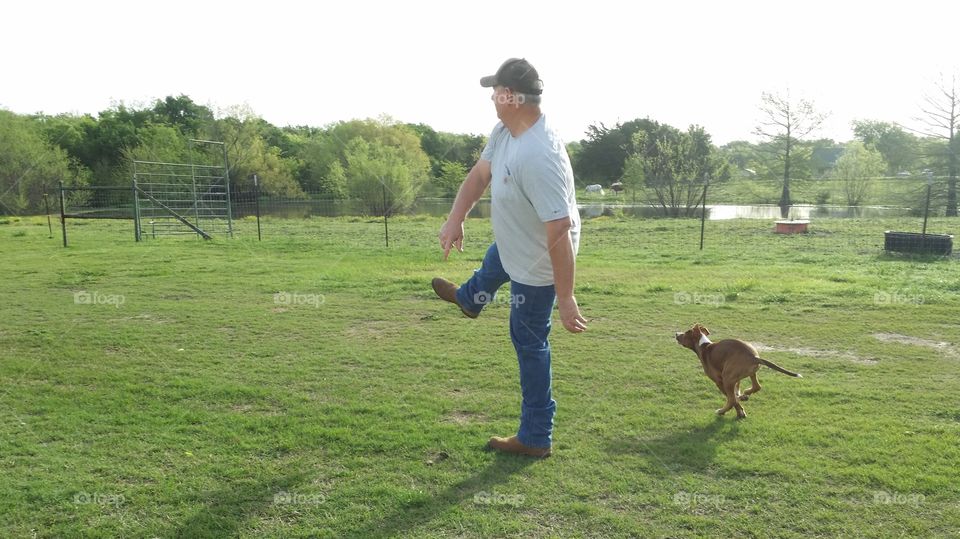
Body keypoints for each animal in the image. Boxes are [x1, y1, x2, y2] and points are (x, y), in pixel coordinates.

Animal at [676, 322, 804, 420]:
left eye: (686, 332)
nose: (676, 333)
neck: (704, 346)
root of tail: (753, 357)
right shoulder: (736, 381)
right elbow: (736, 395)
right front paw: (741, 407)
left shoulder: (719, 382)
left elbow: (732, 399)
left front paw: (739, 411)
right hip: (750, 373)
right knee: (756, 387)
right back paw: (745, 394)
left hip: (727, 379)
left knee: (732, 399)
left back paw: (721, 410)